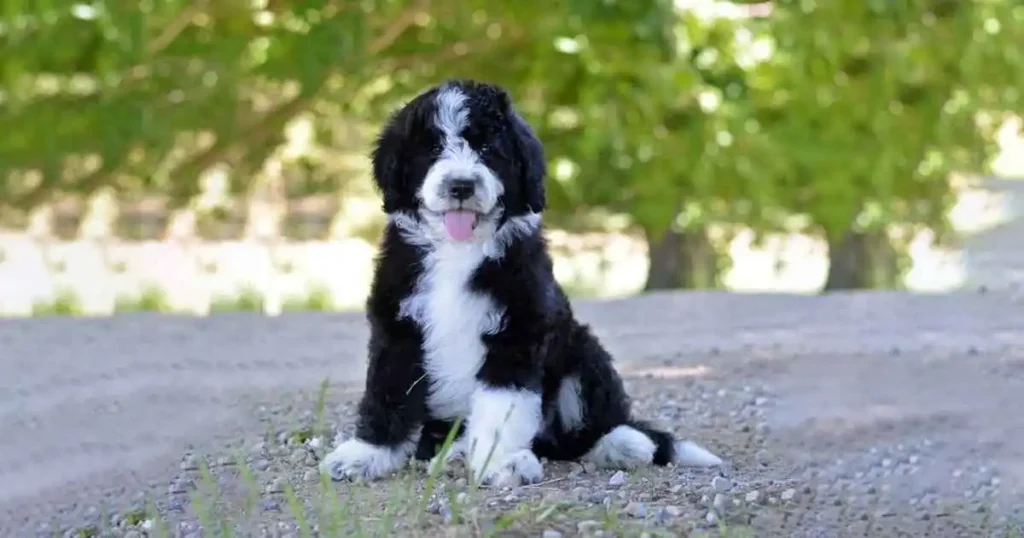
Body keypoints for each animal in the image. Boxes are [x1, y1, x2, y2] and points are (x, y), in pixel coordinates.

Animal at [319, 78, 720, 485]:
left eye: (487, 149)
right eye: (432, 149)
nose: (461, 185)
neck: (459, 251)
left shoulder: (518, 332)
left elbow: (502, 406)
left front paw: (499, 461)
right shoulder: (398, 327)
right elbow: (387, 392)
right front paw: (365, 454)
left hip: (581, 351)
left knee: (583, 430)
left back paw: (625, 444)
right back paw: (456, 453)